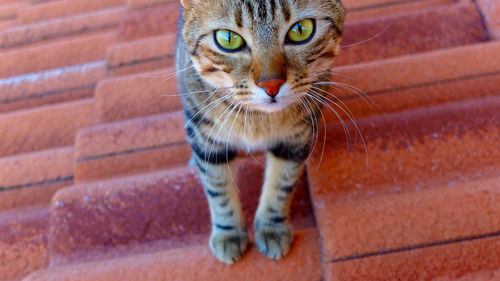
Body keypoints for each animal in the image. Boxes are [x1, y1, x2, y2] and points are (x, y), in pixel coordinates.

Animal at [175, 0, 344, 262]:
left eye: (301, 30)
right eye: (228, 39)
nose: (271, 85)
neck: (257, 119)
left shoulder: (297, 138)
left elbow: (281, 184)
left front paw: (271, 227)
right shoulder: (205, 137)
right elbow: (218, 188)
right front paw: (228, 232)